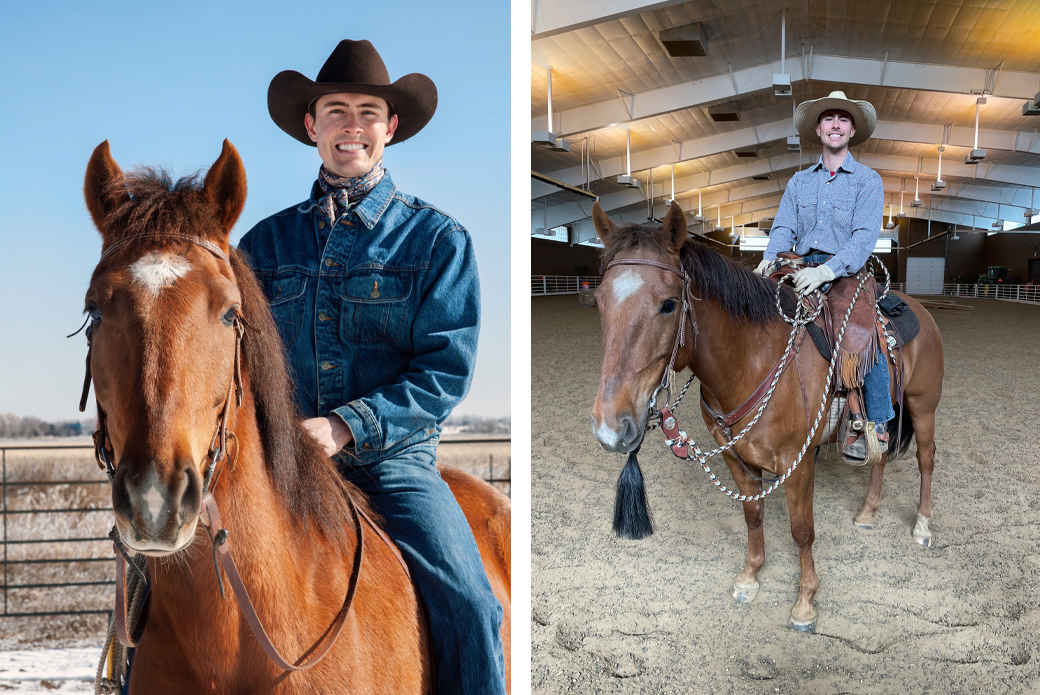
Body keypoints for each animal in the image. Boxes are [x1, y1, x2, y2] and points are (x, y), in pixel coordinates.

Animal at [594, 199, 944, 628]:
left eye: (668, 304)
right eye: (599, 300)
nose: (611, 427)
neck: (752, 362)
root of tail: (920, 311)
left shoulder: (798, 464)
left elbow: (802, 530)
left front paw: (805, 601)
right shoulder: (735, 458)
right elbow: (753, 514)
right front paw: (750, 576)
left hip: (924, 404)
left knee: (926, 459)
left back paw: (923, 526)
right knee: (879, 453)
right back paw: (867, 511)